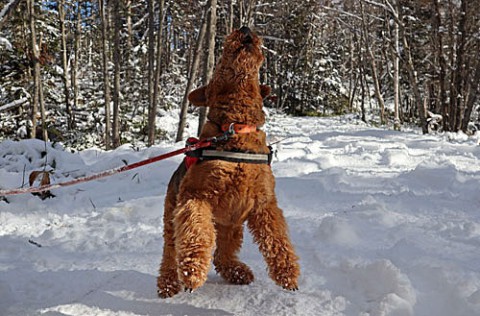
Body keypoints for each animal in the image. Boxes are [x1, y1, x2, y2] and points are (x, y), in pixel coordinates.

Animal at [158, 25, 300, 298]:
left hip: (231, 227)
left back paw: (238, 272)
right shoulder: (196, 196)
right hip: (173, 214)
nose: (244, 28)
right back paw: (168, 283)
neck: (236, 127)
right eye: (220, 63)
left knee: (222, 255)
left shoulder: (264, 203)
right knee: (171, 251)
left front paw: (287, 273)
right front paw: (192, 271)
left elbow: (277, 238)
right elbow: (196, 232)